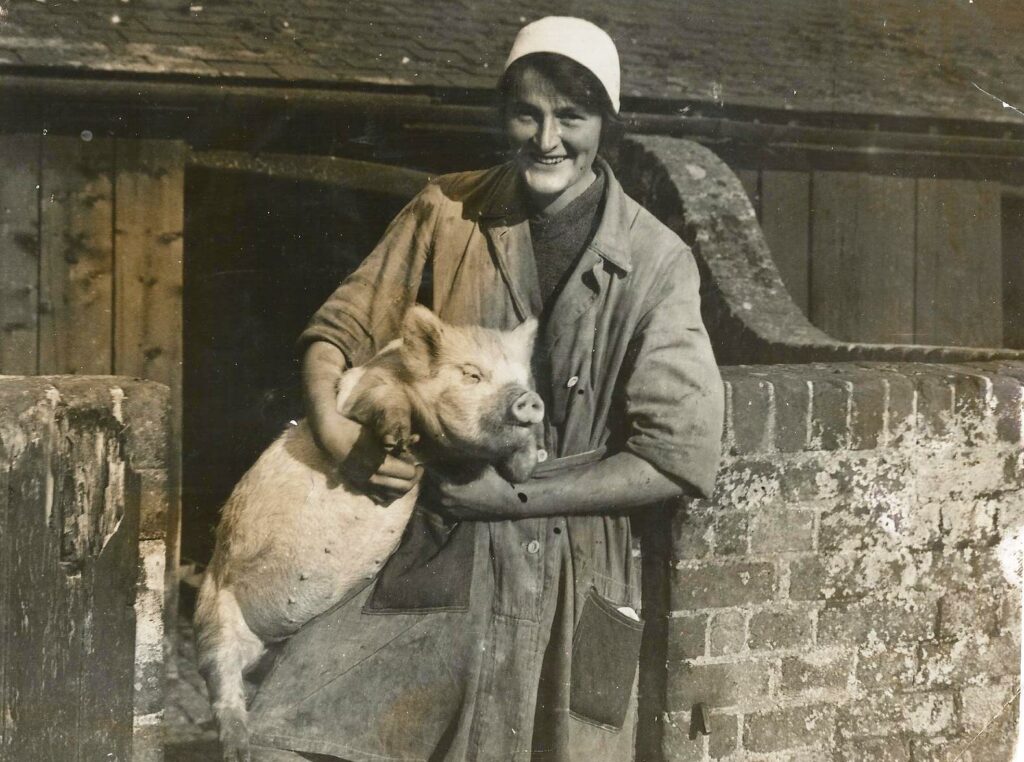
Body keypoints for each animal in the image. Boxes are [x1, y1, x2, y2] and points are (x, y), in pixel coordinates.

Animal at [192, 307, 544, 762]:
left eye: (522, 376)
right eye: (472, 374)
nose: (528, 397)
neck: (432, 445)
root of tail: (275, 633)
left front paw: (528, 463)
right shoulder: (364, 390)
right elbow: (384, 402)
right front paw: (397, 440)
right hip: (213, 614)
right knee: (222, 684)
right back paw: (239, 747)